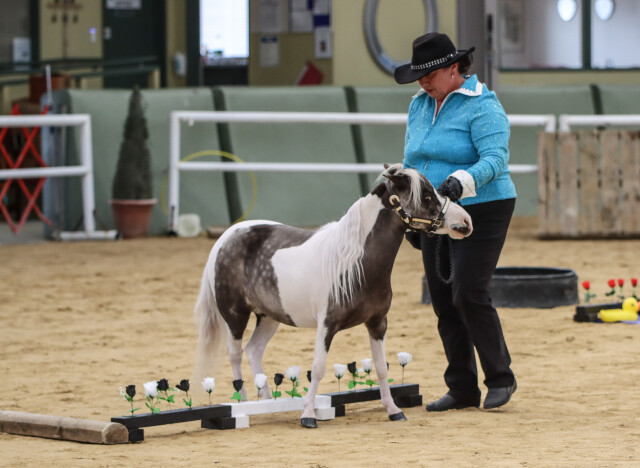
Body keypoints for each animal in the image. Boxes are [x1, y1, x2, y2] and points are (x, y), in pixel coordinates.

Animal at [193, 163, 473, 428]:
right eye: (425, 196)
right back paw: (244, 404)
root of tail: (227, 236)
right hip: (235, 316)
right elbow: (318, 369)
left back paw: (266, 402)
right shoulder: (326, 325)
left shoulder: (378, 323)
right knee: (236, 355)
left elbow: (381, 368)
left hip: (269, 317)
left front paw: (394, 410)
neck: (354, 262)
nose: (466, 222)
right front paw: (308, 415)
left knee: (253, 351)